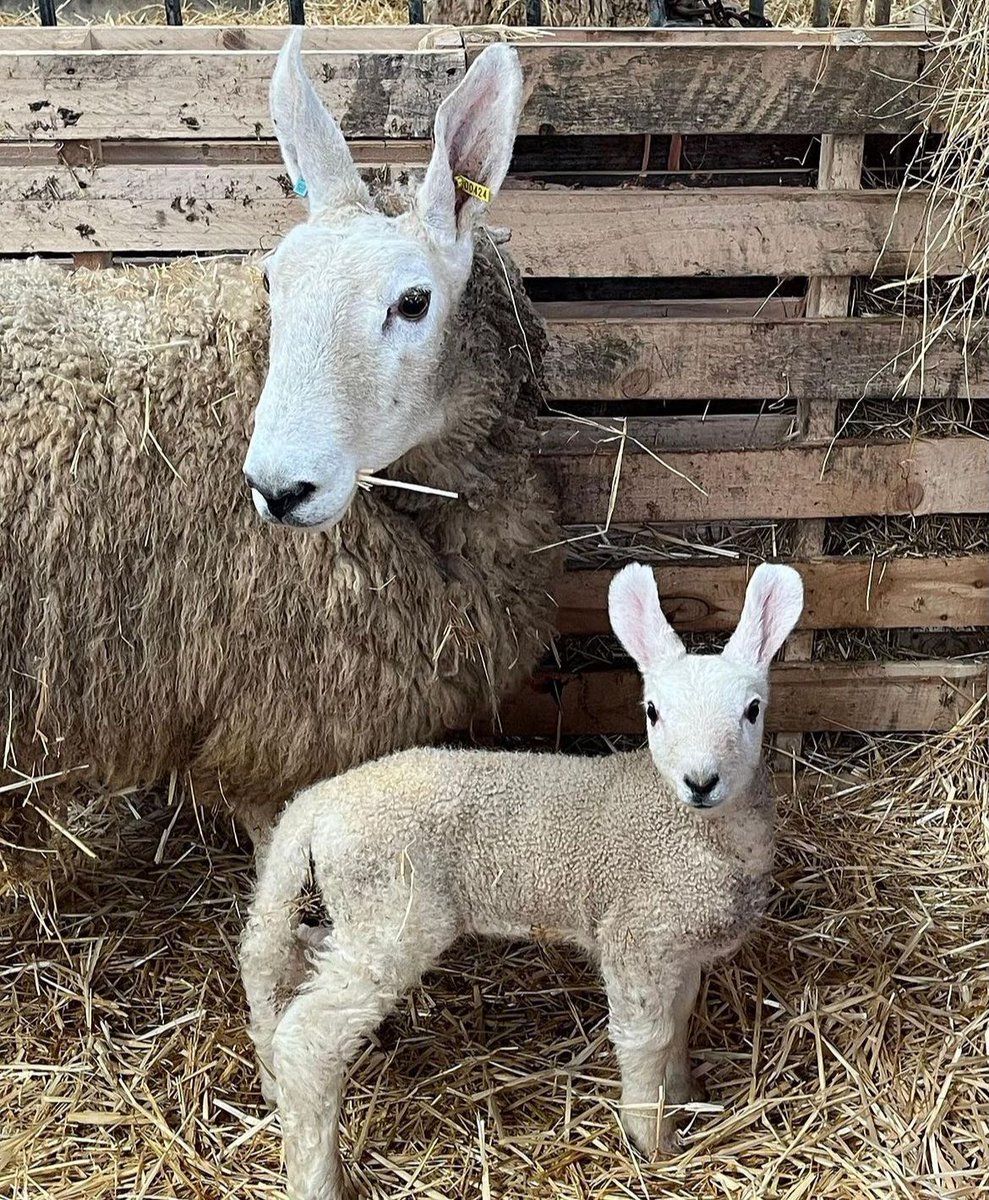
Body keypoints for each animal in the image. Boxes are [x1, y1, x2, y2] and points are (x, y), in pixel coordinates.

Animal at [237, 561, 801, 1200]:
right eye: (653, 711)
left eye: (752, 710)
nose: (700, 781)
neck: (690, 827)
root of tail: (315, 805)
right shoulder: (637, 936)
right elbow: (646, 1038)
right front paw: (652, 1139)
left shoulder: (680, 948)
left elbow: (679, 1022)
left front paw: (683, 1095)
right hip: (392, 910)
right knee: (310, 1039)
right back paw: (317, 1176)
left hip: (351, 911)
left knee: (274, 962)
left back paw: (271, 1083)